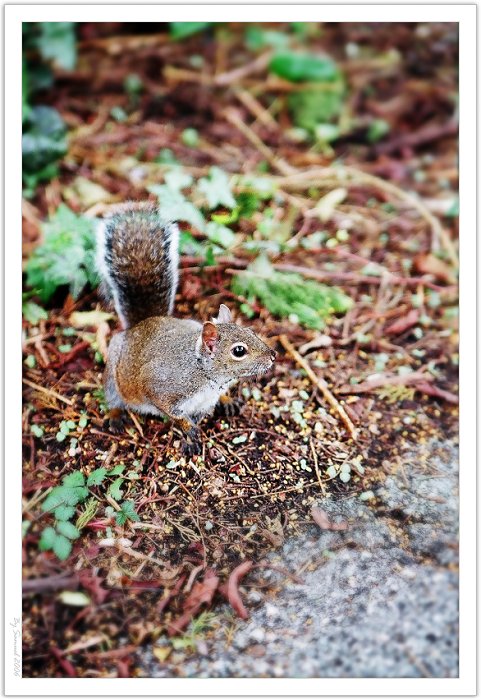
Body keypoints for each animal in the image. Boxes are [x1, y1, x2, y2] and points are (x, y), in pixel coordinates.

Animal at [96, 203, 276, 456]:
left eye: (251, 331)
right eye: (239, 351)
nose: (273, 356)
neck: (203, 372)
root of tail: (142, 323)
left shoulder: (206, 401)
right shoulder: (161, 388)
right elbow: (172, 412)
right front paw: (188, 430)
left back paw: (227, 401)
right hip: (113, 374)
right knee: (113, 397)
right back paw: (115, 415)